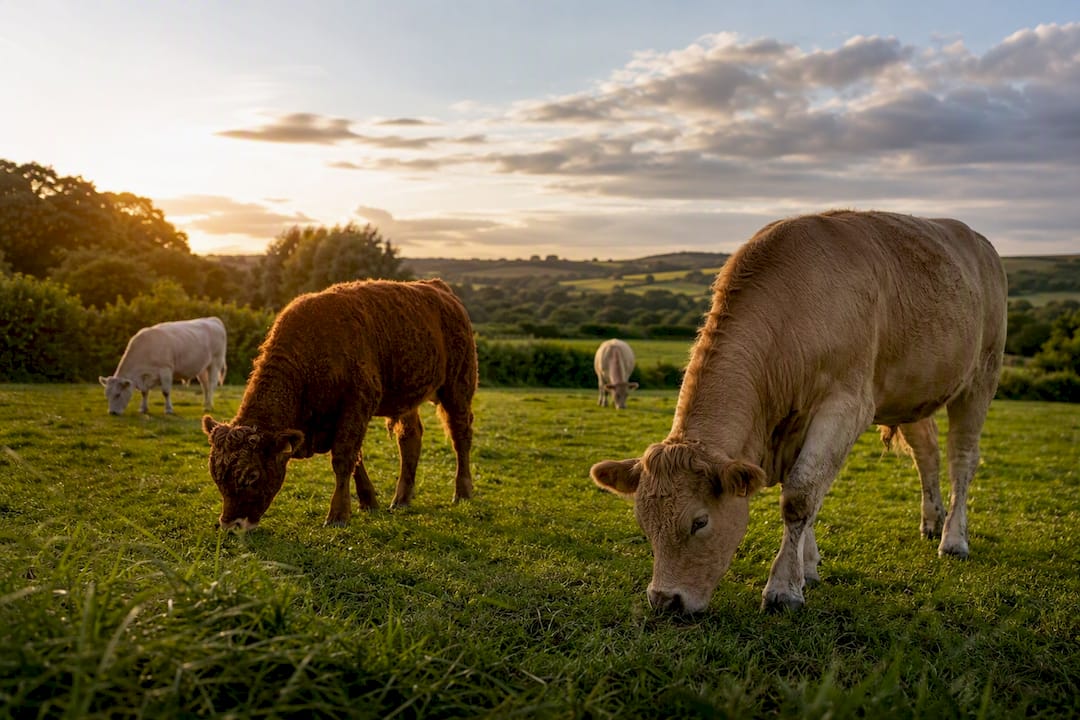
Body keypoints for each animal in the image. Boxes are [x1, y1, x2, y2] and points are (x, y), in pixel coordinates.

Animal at [202, 279, 477, 531]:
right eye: (216, 476)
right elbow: (356, 460)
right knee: (410, 439)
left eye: (252, 475)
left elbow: (344, 459)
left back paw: (462, 492)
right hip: (408, 399)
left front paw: (338, 515)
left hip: (457, 388)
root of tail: (439, 288)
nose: (230, 526)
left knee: (460, 437)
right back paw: (401, 499)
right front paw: (368, 501)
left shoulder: (357, 405)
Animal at [590, 210, 1007, 613]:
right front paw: (808, 566)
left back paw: (953, 538)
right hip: (913, 393)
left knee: (961, 459)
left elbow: (801, 495)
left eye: (700, 521)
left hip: (981, 376)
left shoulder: (846, 406)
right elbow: (809, 494)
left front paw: (783, 589)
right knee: (927, 455)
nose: (664, 600)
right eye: (643, 523)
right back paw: (931, 520)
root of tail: (977, 240)